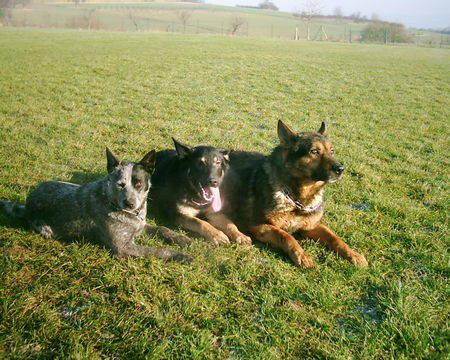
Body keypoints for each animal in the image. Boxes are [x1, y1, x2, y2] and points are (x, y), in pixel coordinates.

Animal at [0, 148, 193, 262]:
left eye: (138, 183)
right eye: (120, 184)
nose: (130, 203)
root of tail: (27, 204)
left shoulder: (140, 226)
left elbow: (162, 228)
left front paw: (182, 239)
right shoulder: (123, 247)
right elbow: (157, 250)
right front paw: (180, 255)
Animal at [219, 121, 370, 268]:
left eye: (332, 151)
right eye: (314, 151)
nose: (340, 169)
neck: (297, 198)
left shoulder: (312, 226)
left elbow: (335, 238)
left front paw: (353, 254)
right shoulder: (257, 226)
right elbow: (285, 235)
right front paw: (302, 256)